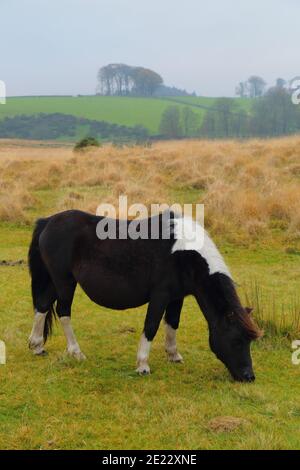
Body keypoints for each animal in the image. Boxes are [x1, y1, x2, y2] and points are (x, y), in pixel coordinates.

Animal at [28, 209, 262, 382]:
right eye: (237, 340)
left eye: (249, 341)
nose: (249, 376)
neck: (184, 253)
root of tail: (48, 221)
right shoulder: (160, 296)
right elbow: (151, 326)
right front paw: (142, 365)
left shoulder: (177, 297)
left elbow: (172, 323)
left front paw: (173, 355)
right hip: (65, 282)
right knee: (63, 311)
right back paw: (76, 353)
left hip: (55, 281)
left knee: (42, 306)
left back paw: (37, 346)